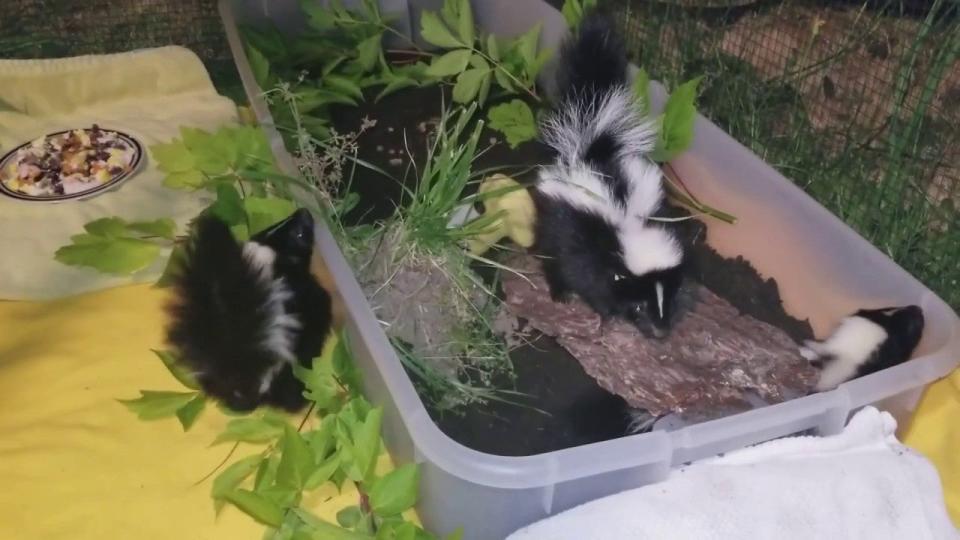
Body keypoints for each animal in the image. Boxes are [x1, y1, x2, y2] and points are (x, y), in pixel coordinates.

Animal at [532, 13, 684, 338]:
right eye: (639, 304)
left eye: (668, 298)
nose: (660, 331)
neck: (628, 225)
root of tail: (593, 153)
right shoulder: (588, 248)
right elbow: (588, 277)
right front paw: (605, 314)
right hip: (554, 222)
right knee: (553, 255)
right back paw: (560, 292)